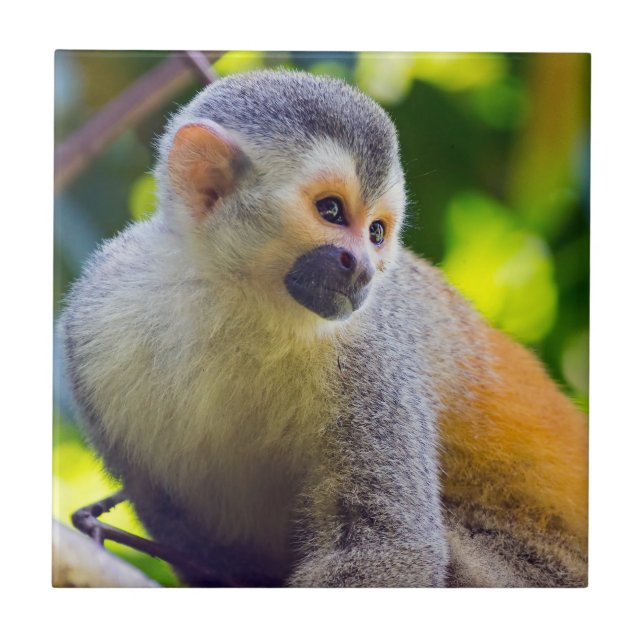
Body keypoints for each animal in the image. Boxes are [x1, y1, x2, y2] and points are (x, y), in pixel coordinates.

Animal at [59, 69, 588, 587]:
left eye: (376, 232)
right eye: (331, 211)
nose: (365, 269)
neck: (237, 301)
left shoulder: (371, 354)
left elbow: (393, 545)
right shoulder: (94, 320)